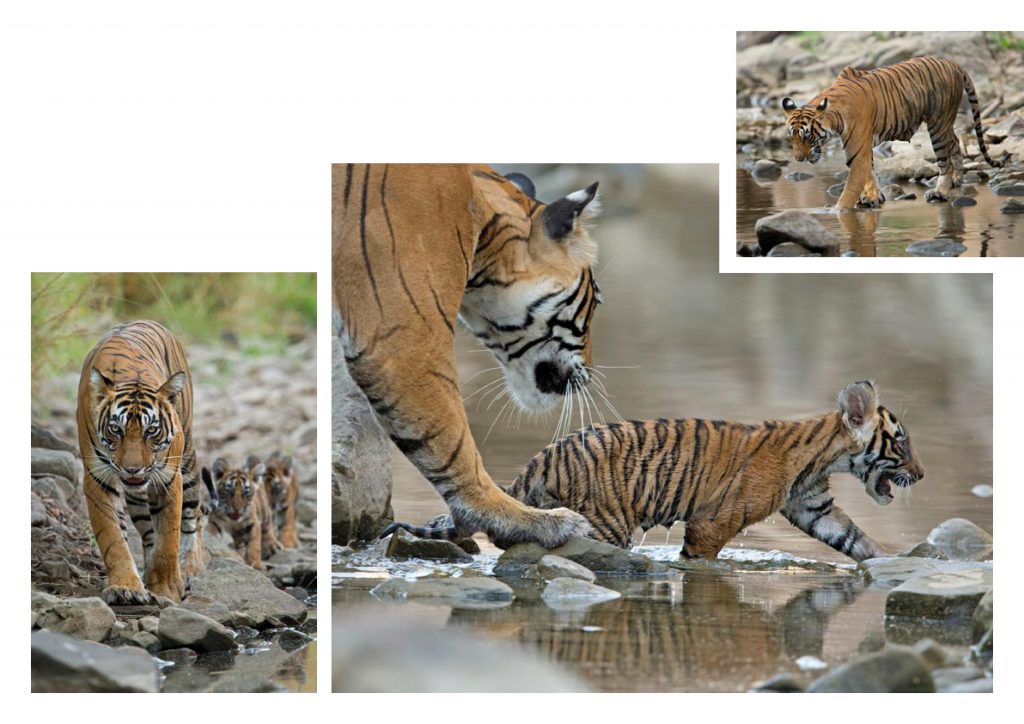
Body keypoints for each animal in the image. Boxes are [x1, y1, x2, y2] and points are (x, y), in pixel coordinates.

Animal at [75, 319, 203, 602]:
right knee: (147, 532)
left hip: (188, 459)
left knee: (193, 516)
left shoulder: (168, 477)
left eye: (151, 430)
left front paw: (166, 588)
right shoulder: (98, 477)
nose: (132, 469)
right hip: (136, 498)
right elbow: (112, 538)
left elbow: (169, 535)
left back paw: (191, 569)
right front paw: (126, 587)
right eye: (116, 430)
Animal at [385, 382, 929, 565]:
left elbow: (855, 539)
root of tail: (540, 459)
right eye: (900, 442)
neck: (821, 455)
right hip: (608, 523)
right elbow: (700, 560)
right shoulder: (714, 521)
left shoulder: (815, 506)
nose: (922, 475)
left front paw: (889, 561)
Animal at [786, 57, 1003, 209]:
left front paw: (837, 210)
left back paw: (940, 191)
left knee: (944, 161)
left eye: (807, 136)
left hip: (938, 124)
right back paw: (957, 179)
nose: (798, 159)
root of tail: (953, 63)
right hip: (945, 124)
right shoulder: (864, 148)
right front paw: (874, 197)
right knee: (956, 143)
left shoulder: (857, 150)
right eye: (791, 138)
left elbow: (851, 187)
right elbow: (871, 174)